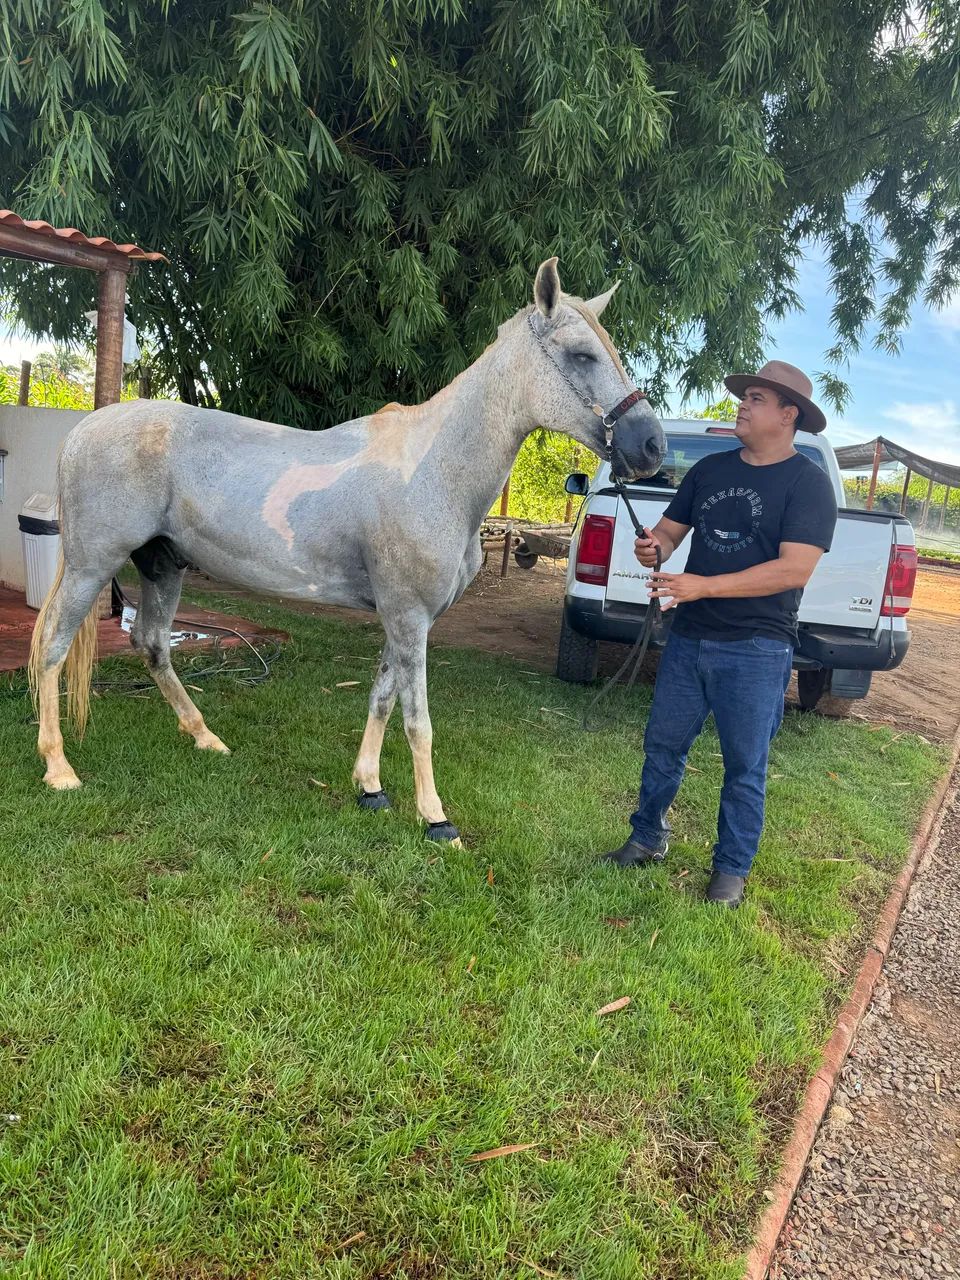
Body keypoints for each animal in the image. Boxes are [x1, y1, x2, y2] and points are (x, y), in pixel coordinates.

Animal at [28, 257, 665, 843]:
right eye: (581, 355)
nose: (652, 446)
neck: (434, 471)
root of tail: (84, 430)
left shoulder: (401, 617)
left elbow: (382, 698)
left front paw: (371, 788)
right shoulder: (409, 617)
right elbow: (418, 719)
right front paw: (435, 819)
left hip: (163, 564)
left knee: (153, 644)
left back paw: (205, 737)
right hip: (91, 566)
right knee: (54, 645)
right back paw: (58, 768)